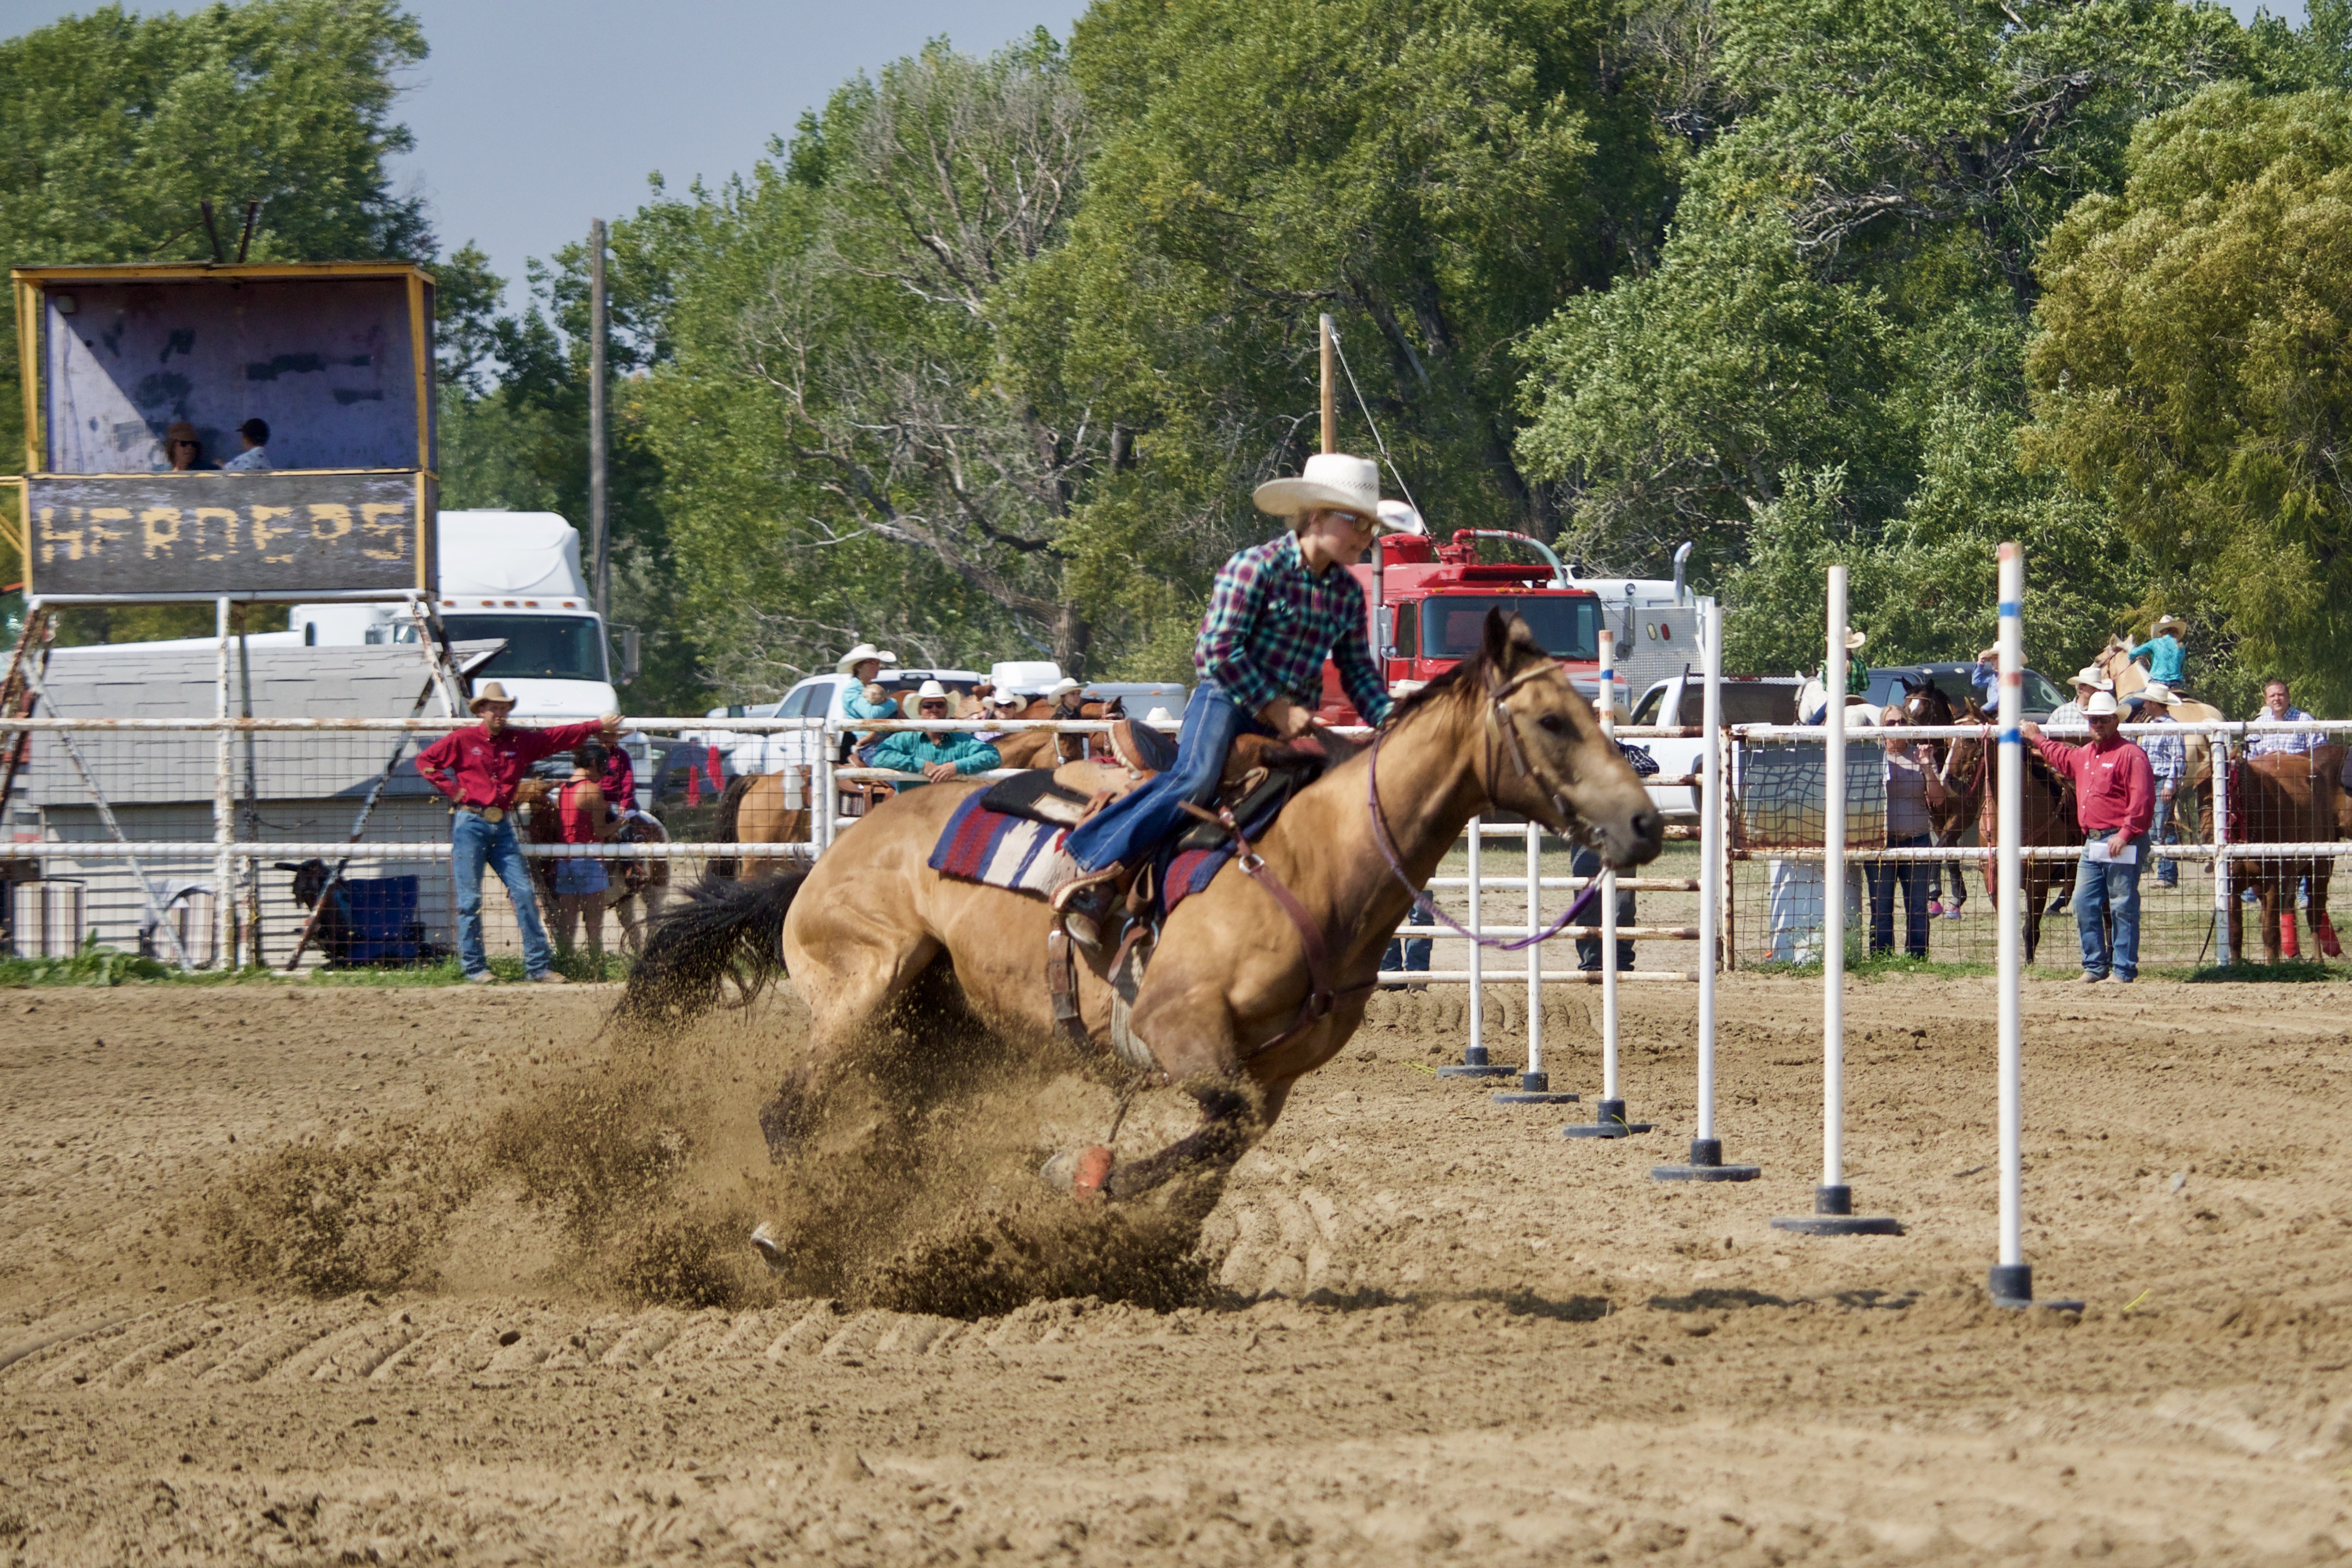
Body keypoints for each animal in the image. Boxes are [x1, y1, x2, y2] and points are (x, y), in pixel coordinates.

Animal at [621, 611, 1656, 1204]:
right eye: (1552, 720)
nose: (1645, 821)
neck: (1315, 863)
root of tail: (822, 860)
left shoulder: (1276, 1076)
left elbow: (1220, 1146)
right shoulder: (1176, 1027)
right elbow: (1211, 1129)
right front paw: (1077, 1177)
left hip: (947, 1034)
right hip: (860, 994)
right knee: (786, 1114)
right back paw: (784, 1229)